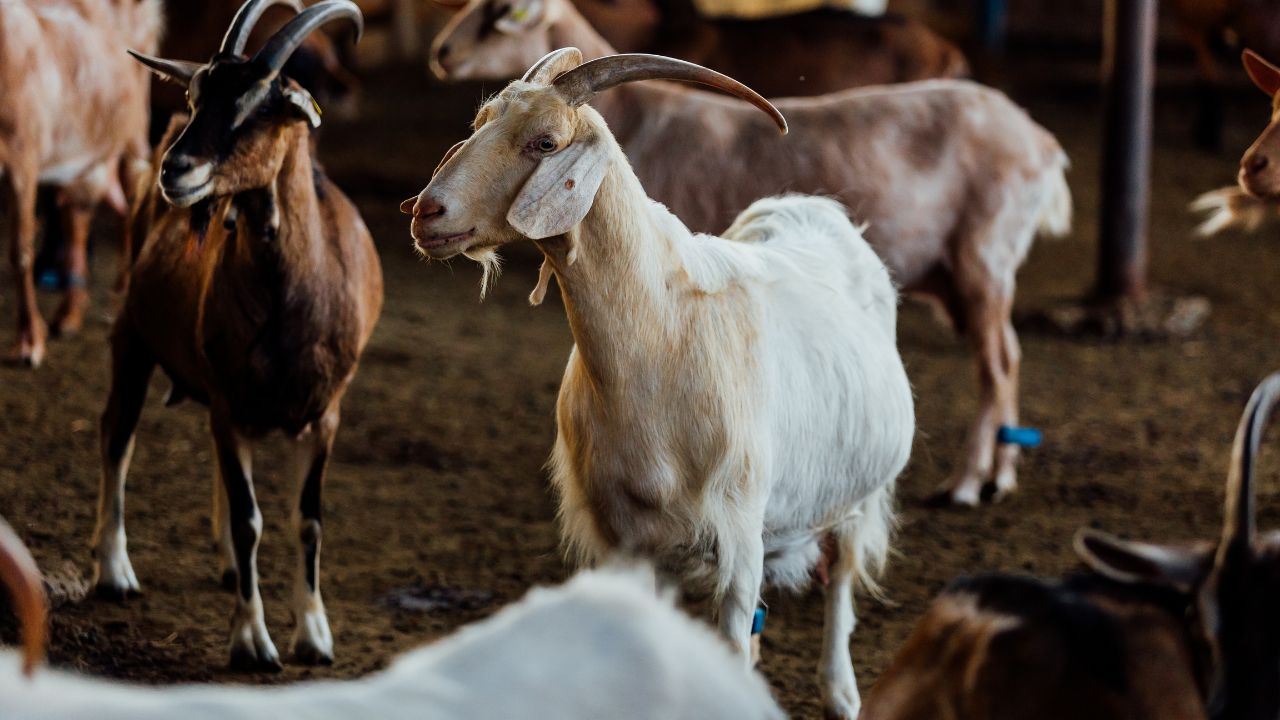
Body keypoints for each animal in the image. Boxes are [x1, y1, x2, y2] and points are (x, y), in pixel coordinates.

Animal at [0, 0, 161, 366]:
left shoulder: (22, 155)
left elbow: (20, 251)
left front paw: (30, 341)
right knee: (80, 214)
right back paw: (69, 313)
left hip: (134, 134)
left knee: (130, 203)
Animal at [92, 0, 383, 672]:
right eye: (197, 94)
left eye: (262, 105)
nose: (177, 169)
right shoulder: (229, 403)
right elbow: (253, 519)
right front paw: (252, 639)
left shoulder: (325, 413)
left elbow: (309, 520)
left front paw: (314, 634)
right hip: (132, 336)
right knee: (117, 435)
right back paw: (114, 570)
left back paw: (225, 564)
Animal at [404, 48, 915, 718]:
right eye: (480, 121)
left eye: (545, 141)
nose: (426, 212)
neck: (659, 342)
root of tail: (812, 205)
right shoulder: (623, 540)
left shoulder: (740, 537)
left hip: (859, 498)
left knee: (842, 586)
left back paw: (841, 692)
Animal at [431, 0, 1072, 507]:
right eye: (480, 121)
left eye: (546, 142)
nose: (427, 210)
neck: (647, 117)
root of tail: (1042, 141)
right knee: (1007, 355)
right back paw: (999, 476)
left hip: (984, 262)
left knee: (999, 362)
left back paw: (968, 483)